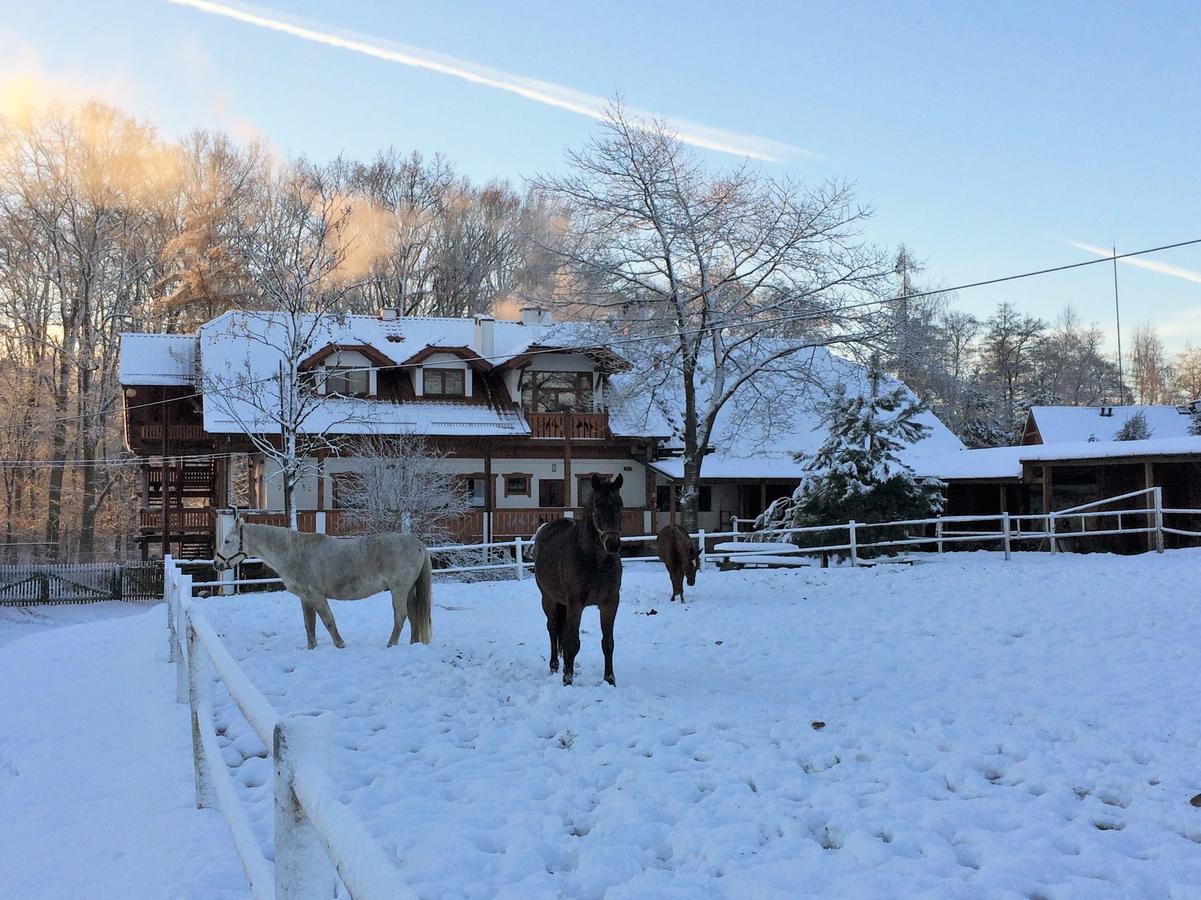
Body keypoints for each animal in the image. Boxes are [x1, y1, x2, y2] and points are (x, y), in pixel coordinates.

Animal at [213, 516, 434, 648]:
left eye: (227, 540)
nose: (216, 563)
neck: (294, 553)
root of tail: (417, 543)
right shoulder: (305, 598)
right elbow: (309, 625)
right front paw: (312, 648)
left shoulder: (317, 596)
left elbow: (328, 621)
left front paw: (340, 644)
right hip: (408, 590)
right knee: (414, 615)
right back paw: (414, 643)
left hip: (399, 590)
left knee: (401, 616)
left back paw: (391, 644)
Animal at [538, 473, 629, 682]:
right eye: (597, 506)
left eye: (620, 505)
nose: (613, 544)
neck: (594, 561)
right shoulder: (575, 603)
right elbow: (572, 642)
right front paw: (567, 679)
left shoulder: (610, 602)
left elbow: (608, 642)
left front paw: (610, 679)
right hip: (549, 598)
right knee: (553, 628)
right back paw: (554, 666)